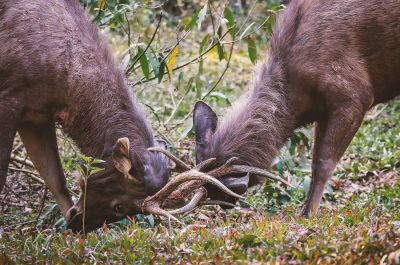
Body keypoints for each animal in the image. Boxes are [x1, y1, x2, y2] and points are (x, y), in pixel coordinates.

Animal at [192, 0, 400, 216]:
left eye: (219, 193)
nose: (225, 209)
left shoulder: (355, 97)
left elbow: (324, 164)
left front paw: (309, 214)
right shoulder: (323, 112)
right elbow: (314, 163)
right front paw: (306, 210)